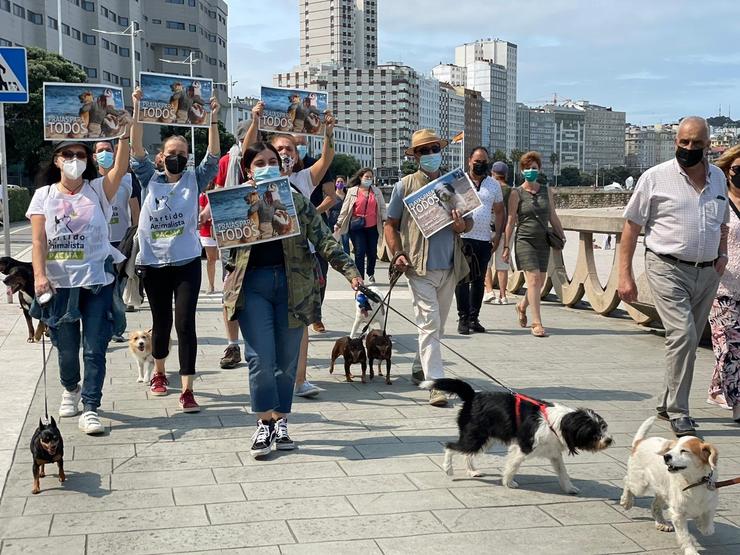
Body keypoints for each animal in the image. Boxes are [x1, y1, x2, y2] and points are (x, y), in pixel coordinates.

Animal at [422, 378, 612, 496]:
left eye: (603, 427)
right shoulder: (522, 447)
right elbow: (512, 466)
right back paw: (448, 468)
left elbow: (563, 472)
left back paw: (472, 471)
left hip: (484, 438)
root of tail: (473, 395)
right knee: (449, 446)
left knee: (466, 453)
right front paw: (508, 482)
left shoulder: (554, 453)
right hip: (475, 437)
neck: (556, 423)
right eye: (593, 432)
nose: (609, 440)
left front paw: (569, 487)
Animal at [620, 416, 716, 555]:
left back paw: (661, 522)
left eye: (684, 451)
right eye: (671, 449)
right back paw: (626, 501)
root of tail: (640, 442)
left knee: (655, 505)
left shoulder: (709, 503)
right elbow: (685, 536)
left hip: (663, 491)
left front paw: (702, 524)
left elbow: (708, 525)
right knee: (627, 480)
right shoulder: (678, 513)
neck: (693, 482)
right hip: (639, 484)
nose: (666, 456)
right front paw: (691, 551)